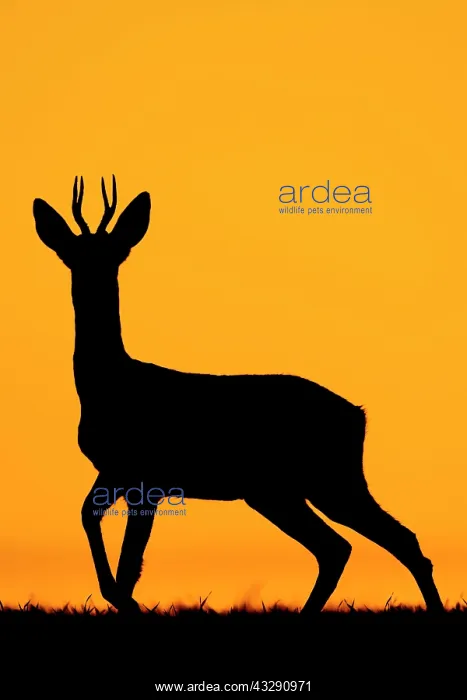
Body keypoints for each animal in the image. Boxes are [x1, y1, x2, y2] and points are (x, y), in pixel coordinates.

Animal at [32, 176, 444, 615]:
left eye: (116, 253)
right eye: (72, 254)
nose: (91, 277)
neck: (108, 384)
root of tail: (358, 414)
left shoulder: (146, 475)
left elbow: (129, 562)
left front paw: (129, 603)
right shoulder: (113, 470)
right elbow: (87, 517)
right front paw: (121, 599)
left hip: (327, 480)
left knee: (389, 541)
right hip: (278, 491)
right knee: (340, 547)